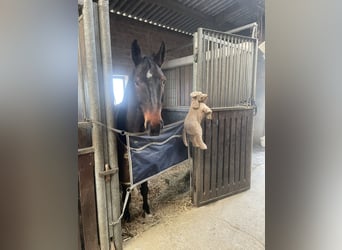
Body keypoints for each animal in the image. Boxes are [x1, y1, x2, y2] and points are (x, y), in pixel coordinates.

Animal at [115, 39, 166, 221]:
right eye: (137, 82)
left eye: (163, 80)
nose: (155, 125)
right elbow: (125, 189)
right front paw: (126, 215)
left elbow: (144, 185)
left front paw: (146, 209)